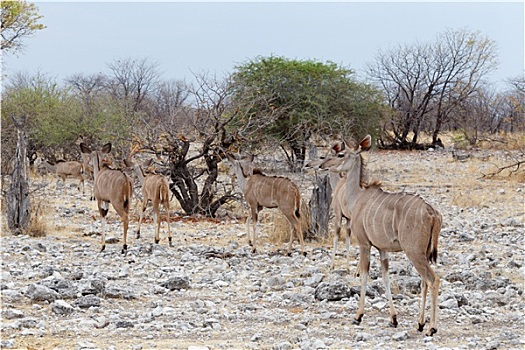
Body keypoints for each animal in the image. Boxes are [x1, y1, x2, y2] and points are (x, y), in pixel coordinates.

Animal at [318, 134, 440, 336]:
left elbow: (364, 274)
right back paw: (420, 323)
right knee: (424, 281)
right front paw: (393, 319)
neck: (357, 198)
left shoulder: (364, 243)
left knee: (432, 279)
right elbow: (385, 277)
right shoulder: (383, 249)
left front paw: (358, 316)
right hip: (423, 253)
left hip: (413, 251)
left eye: (340, 154)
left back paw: (431, 328)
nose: (322, 165)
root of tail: (433, 213)